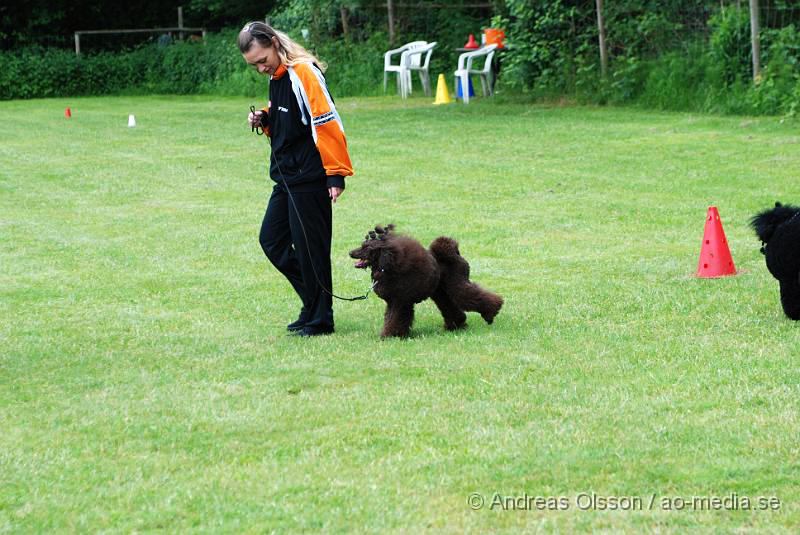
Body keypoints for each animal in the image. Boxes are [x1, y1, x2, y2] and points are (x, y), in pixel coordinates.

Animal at [348, 224, 504, 338]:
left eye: (367, 248)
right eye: (362, 245)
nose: (350, 252)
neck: (387, 266)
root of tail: (455, 253)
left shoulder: (400, 301)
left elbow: (395, 318)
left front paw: (390, 336)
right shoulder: (393, 301)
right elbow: (390, 317)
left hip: (456, 283)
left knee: (469, 296)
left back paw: (491, 313)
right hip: (440, 292)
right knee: (450, 306)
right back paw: (456, 326)